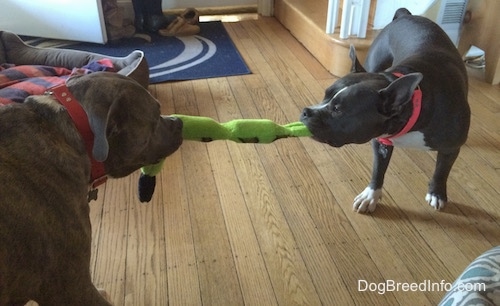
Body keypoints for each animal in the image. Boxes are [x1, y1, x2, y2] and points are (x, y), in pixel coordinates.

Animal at [300, 7, 468, 213]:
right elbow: (378, 169)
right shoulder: (381, 142)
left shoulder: (451, 149)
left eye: (338, 110)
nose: (305, 111)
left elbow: (441, 171)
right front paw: (371, 195)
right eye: (325, 95)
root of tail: (406, 16)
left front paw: (436, 193)